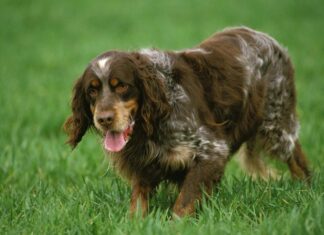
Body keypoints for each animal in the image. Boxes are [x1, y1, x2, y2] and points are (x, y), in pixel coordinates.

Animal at [64, 27, 312, 217]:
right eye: (92, 91)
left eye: (122, 86)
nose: (104, 119)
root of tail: (271, 40)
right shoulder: (146, 163)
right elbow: (138, 203)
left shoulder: (212, 150)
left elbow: (183, 204)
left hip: (276, 121)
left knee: (297, 158)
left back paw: (306, 190)